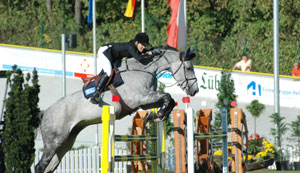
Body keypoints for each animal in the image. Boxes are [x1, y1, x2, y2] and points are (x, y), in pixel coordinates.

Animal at [35, 48, 199, 172]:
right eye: (189, 68)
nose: (195, 91)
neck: (143, 69)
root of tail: (44, 113)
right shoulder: (141, 98)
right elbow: (167, 96)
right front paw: (159, 114)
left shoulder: (145, 101)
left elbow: (168, 99)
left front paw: (157, 115)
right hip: (54, 142)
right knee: (40, 166)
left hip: (66, 143)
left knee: (50, 166)